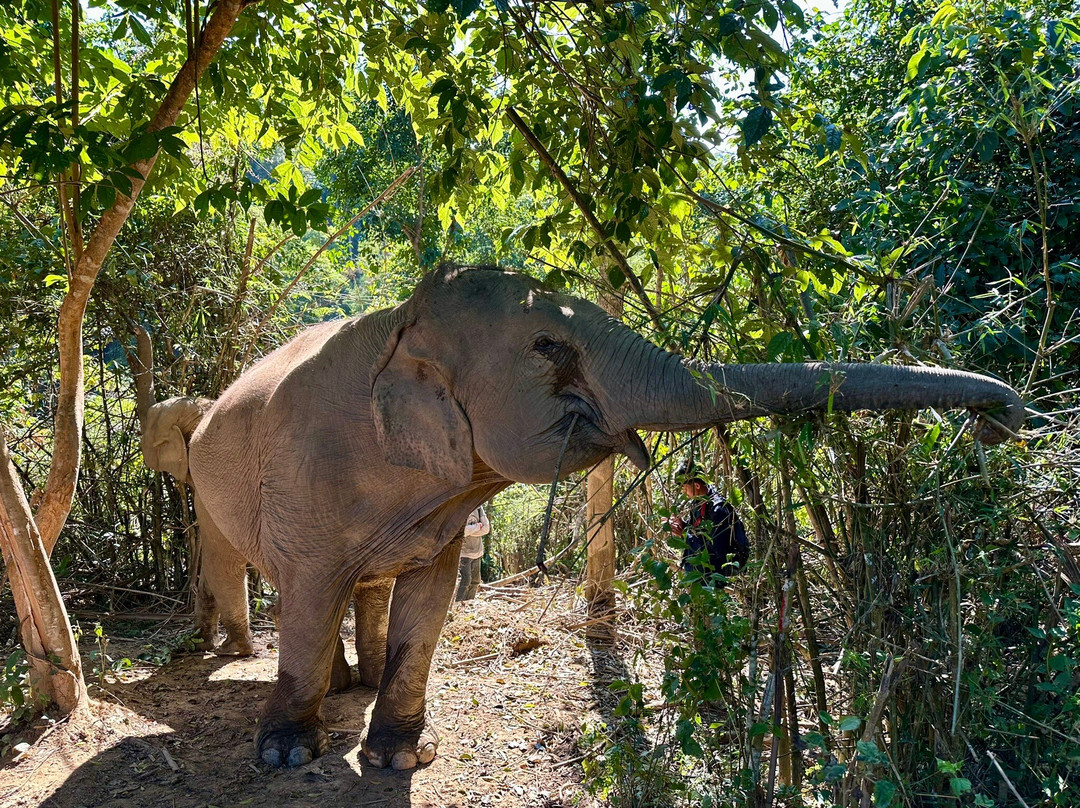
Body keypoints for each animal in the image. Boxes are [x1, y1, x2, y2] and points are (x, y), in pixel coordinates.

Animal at [186, 262, 1024, 771]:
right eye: (548, 344)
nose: (1000, 419)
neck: (400, 325)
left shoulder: (440, 512)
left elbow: (429, 602)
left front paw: (400, 759)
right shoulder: (306, 481)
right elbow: (310, 591)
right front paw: (288, 756)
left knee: (365, 590)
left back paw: (351, 692)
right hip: (201, 477)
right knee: (260, 571)